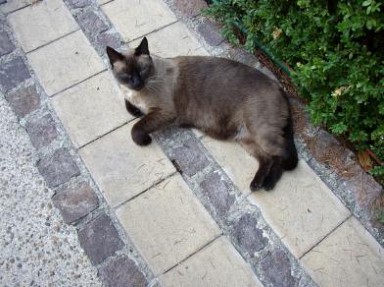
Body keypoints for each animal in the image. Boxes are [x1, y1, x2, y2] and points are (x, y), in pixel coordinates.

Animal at [106, 37, 298, 191]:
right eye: (126, 74)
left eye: (142, 70)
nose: (137, 82)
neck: (138, 92)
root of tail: (278, 86)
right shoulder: (132, 98)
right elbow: (129, 106)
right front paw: (135, 109)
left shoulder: (163, 112)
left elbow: (136, 127)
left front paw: (143, 139)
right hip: (245, 137)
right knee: (266, 159)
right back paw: (256, 184)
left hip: (259, 131)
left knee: (282, 153)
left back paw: (268, 184)